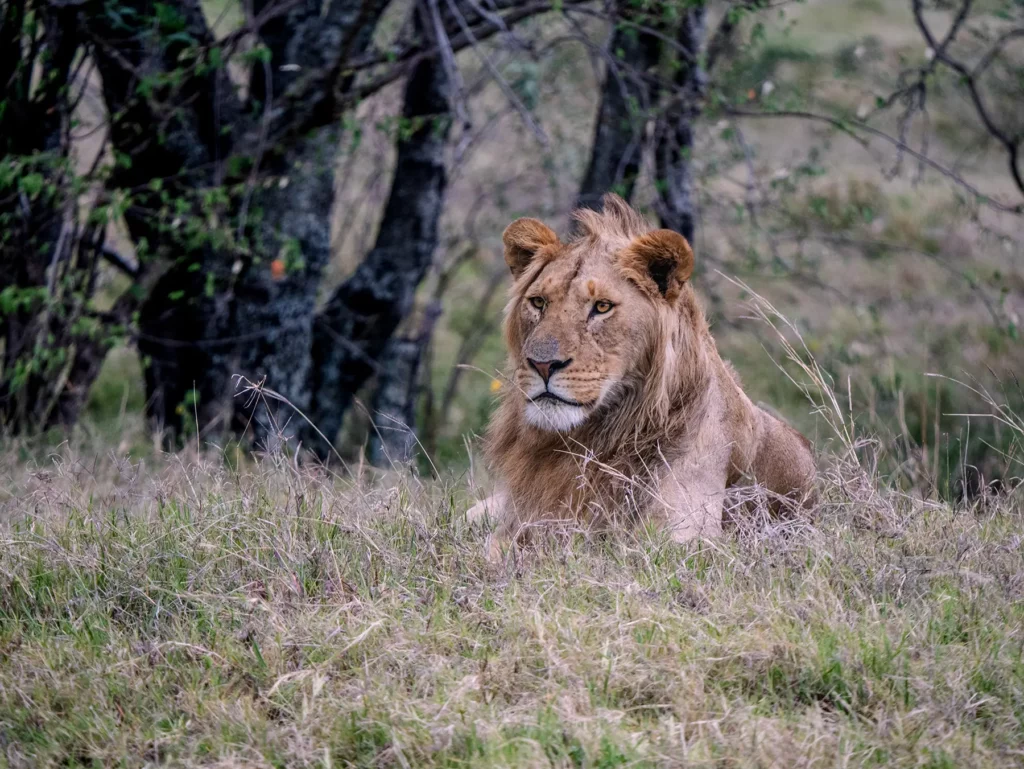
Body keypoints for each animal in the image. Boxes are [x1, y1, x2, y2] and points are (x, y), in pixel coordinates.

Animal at [469, 193, 815, 559]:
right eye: (538, 302)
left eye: (601, 307)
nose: (542, 364)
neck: (591, 438)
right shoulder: (515, 524)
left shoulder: (689, 538)